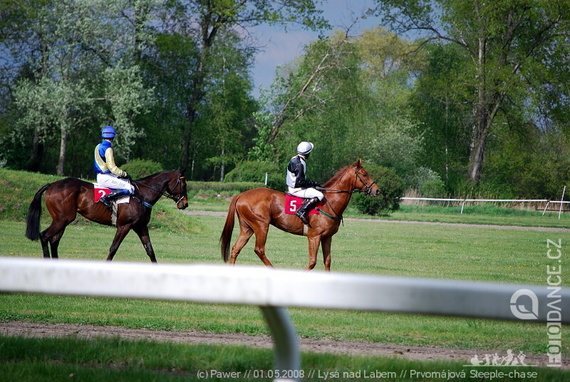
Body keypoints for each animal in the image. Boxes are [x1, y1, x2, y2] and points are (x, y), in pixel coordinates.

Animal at [26, 170, 186, 262]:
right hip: (62, 220)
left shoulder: (140, 226)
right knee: (45, 236)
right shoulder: (124, 226)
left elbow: (150, 250)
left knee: (54, 240)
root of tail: (51, 184)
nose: (185, 204)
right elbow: (113, 248)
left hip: (63, 220)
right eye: (184, 184)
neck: (141, 195)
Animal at [220, 160, 380, 270]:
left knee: (235, 249)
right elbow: (312, 262)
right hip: (261, 226)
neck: (329, 203)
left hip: (247, 228)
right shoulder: (314, 237)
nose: (377, 190)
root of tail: (241, 195)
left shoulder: (327, 237)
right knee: (259, 249)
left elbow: (327, 261)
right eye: (364, 174)